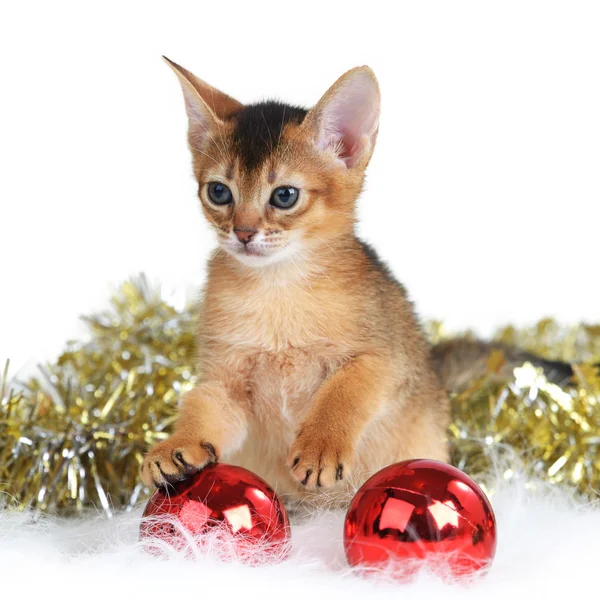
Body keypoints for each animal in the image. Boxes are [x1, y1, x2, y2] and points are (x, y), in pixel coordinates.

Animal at [141, 57, 450, 506]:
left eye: (284, 195)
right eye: (219, 192)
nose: (243, 233)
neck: (277, 292)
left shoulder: (389, 359)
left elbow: (346, 388)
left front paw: (321, 446)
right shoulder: (225, 380)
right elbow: (201, 405)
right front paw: (176, 446)